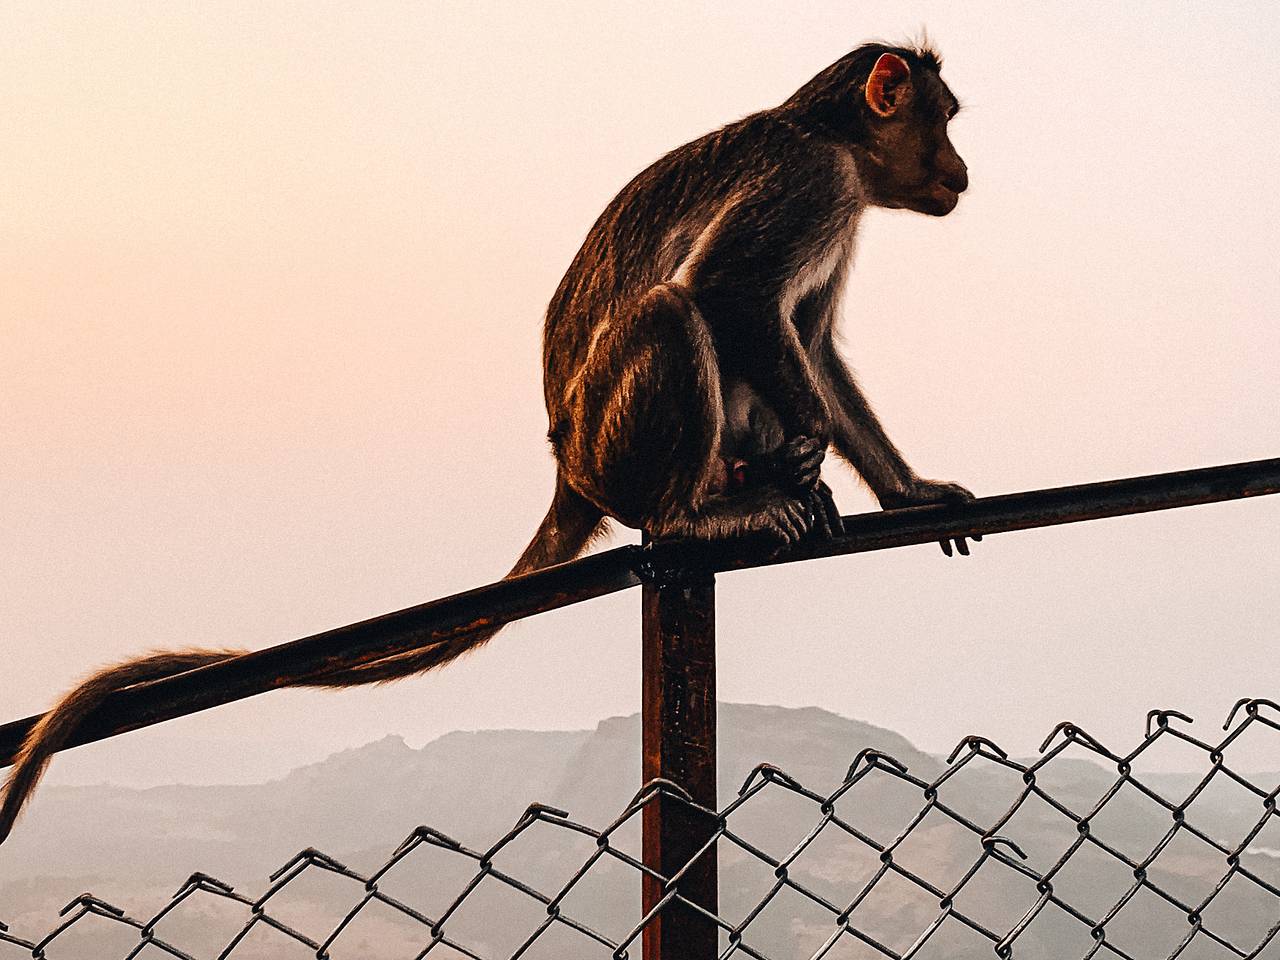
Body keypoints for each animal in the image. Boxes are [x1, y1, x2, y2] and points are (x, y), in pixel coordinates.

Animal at [0, 41, 972, 844]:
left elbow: (812, 342)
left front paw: (909, 491)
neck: (831, 133)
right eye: (946, 118)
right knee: (673, 309)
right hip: (615, 440)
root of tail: (568, 470)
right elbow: (733, 294)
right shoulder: (815, 185)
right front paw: (808, 465)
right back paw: (699, 514)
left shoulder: (840, 211)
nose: (964, 167)